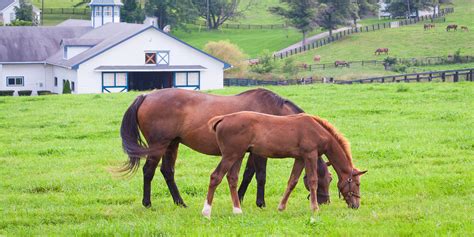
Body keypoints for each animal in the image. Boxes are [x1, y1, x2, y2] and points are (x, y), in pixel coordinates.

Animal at [120, 89, 332, 209]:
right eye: (326, 179)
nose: (325, 201)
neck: (275, 113)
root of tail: (146, 96)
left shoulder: (250, 152)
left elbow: (247, 175)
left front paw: (239, 197)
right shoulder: (261, 153)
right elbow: (260, 176)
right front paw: (260, 203)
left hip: (172, 144)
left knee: (167, 171)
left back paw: (180, 203)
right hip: (159, 145)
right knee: (148, 171)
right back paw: (147, 203)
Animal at [204, 112, 366, 219]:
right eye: (357, 183)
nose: (356, 205)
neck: (317, 130)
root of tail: (223, 118)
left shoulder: (300, 158)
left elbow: (292, 182)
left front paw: (281, 207)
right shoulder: (310, 155)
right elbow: (313, 181)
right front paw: (315, 208)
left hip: (238, 155)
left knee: (232, 178)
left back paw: (237, 211)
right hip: (230, 155)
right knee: (215, 177)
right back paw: (206, 212)